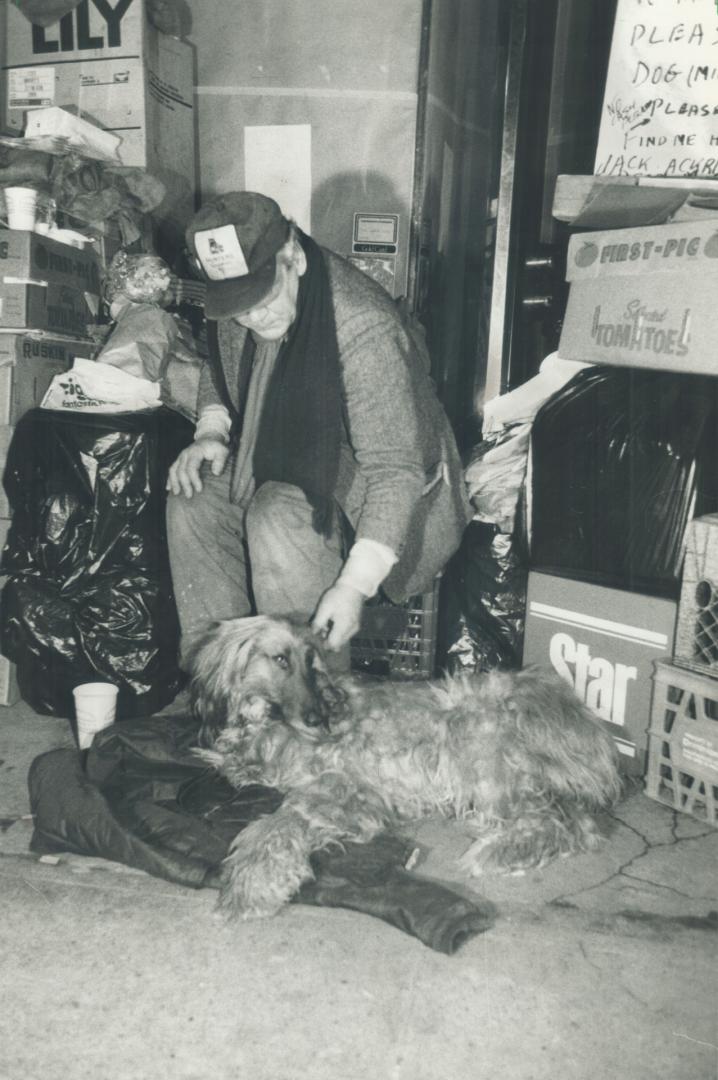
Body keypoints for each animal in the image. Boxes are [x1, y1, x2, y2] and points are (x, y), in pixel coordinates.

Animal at [192, 617, 621, 920]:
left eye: (312, 663)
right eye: (280, 659)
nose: (319, 718)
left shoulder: (348, 790)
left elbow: (278, 823)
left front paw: (249, 883)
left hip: (474, 739)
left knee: (561, 825)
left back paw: (499, 851)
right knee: (576, 822)